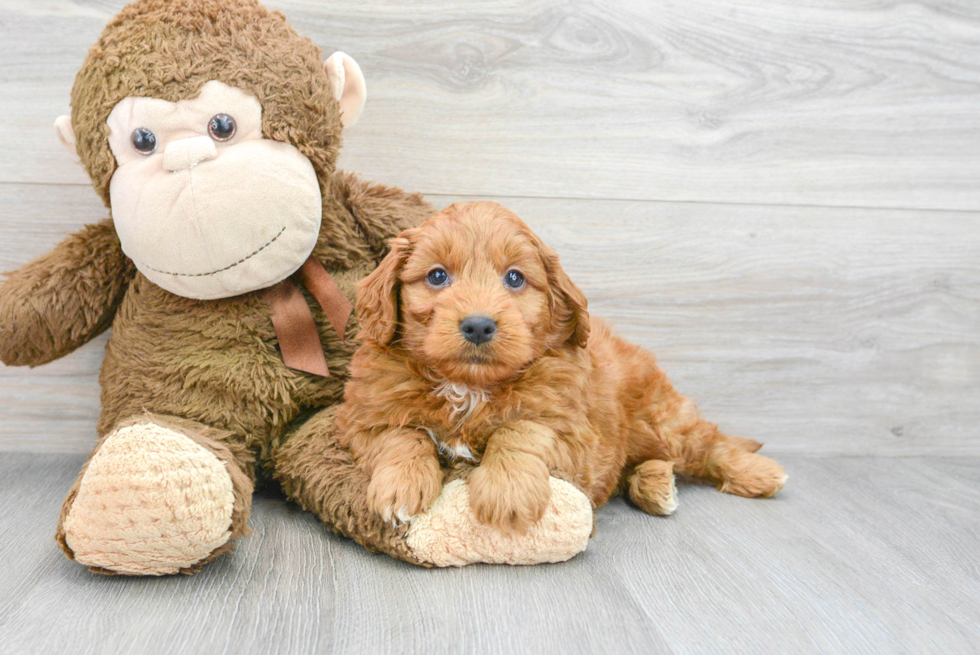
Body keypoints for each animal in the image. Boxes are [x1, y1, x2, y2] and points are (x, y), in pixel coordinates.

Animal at [340, 202, 784, 536]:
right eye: (436, 275)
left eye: (514, 278)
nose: (478, 325)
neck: (469, 387)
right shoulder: (365, 419)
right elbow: (403, 436)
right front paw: (401, 485)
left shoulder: (574, 435)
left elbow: (521, 429)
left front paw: (507, 491)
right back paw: (656, 485)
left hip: (664, 422)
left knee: (711, 444)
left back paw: (759, 473)